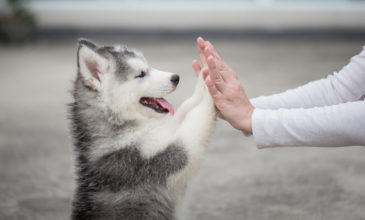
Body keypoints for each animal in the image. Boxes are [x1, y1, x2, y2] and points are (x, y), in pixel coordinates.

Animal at [69, 39, 216, 220]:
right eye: (140, 74)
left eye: (148, 66)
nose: (176, 77)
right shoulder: (169, 155)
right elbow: (197, 117)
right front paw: (211, 85)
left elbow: (185, 109)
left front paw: (203, 80)